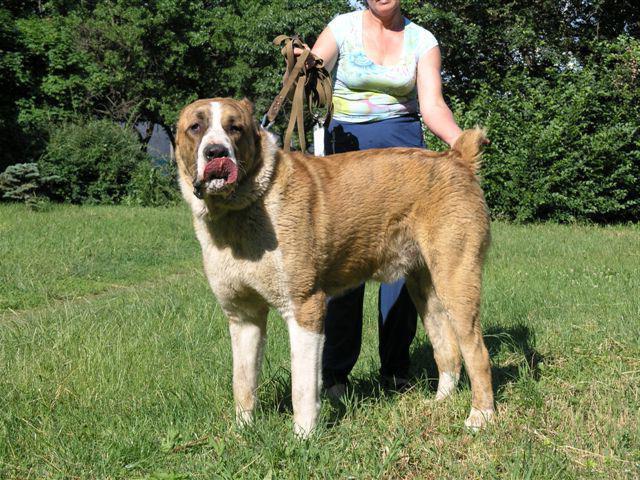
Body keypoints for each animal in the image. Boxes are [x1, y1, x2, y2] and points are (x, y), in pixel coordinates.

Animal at [175, 98, 496, 438]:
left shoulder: (305, 307)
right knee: (447, 349)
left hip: (457, 281)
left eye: (234, 128)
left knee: (476, 352)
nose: (216, 152)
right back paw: (439, 402)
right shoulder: (243, 317)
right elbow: (243, 381)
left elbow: (302, 385)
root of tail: (456, 158)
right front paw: (243, 431)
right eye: (195, 127)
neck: (241, 210)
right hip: (425, 290)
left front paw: (303, 436)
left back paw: (480, 416)